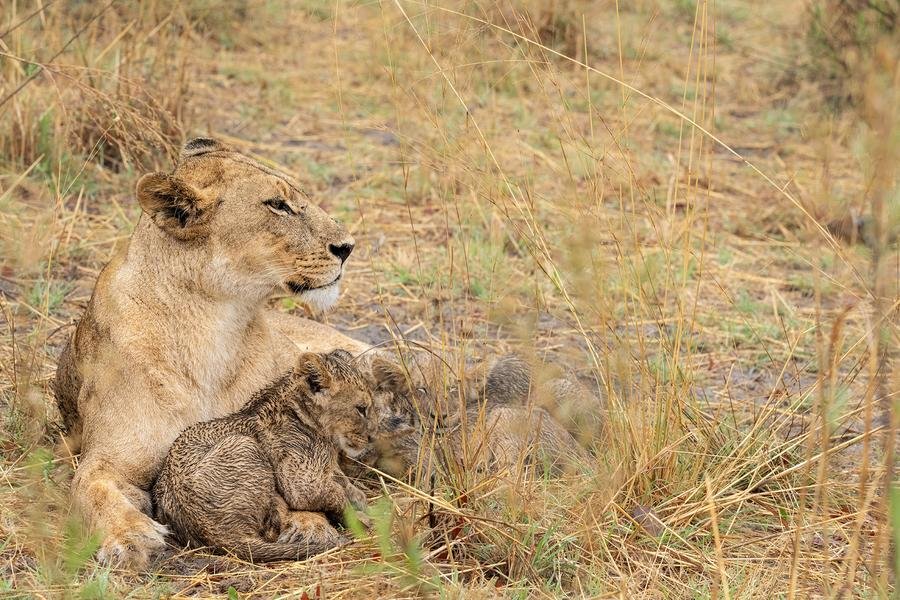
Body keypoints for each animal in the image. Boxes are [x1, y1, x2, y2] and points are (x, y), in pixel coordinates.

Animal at [53, 138, 369, 567]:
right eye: (278, 205)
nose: (347, 247)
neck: (215, 323)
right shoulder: (107, 458)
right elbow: (91, 489)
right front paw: (130, 537)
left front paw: (307, 523)